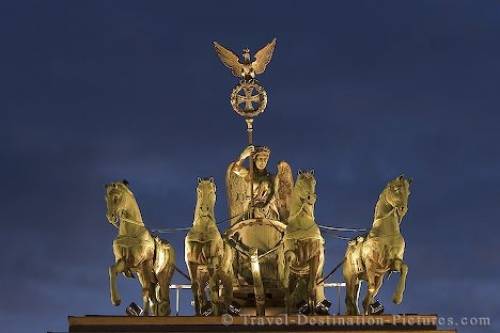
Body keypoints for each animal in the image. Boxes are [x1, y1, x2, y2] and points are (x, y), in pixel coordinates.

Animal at [105, 180, 176, 316]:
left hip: (160, 275)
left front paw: (144, 313)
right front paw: (116, 300)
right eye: (106, 198)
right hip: (142, 274)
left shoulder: (144, 264)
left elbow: (146, 290)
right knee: (152, 294)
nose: (110, 217)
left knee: (159, 294)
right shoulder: (126, 262)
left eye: (116, 197)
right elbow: (112, 269)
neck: (131, 232)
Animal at [186, 176, 234, 314]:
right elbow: (196, 289)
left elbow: (214, 292)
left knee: (226, 293)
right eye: (199, 190)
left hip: (224, 272)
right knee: (204, 291)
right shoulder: (191, 262)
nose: (204, 209)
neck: (203, 228)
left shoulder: (212, 261)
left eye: (213, 190)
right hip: (203, 274)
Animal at [282, 170, 328, 312]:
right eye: (301, 180)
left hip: (314, 275)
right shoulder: (293, 254)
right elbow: (289, 257)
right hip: (297, 277)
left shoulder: (315, 257)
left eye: (314, 181)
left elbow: (311, 290)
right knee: (289, 296)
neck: (302, 224)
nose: (310, 198)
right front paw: (284, 279)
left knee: (312, 290)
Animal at [344, 175, 410, 316]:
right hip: (352, 278)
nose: (403, 209)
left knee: (362, 299)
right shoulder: (371, 263)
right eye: (396, 189)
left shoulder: (391, 263)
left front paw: (397, 298)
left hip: (376, 278)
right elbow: (371, 288)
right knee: (351, 298)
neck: (387, 233)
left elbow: (404, 267)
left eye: (409, 192)